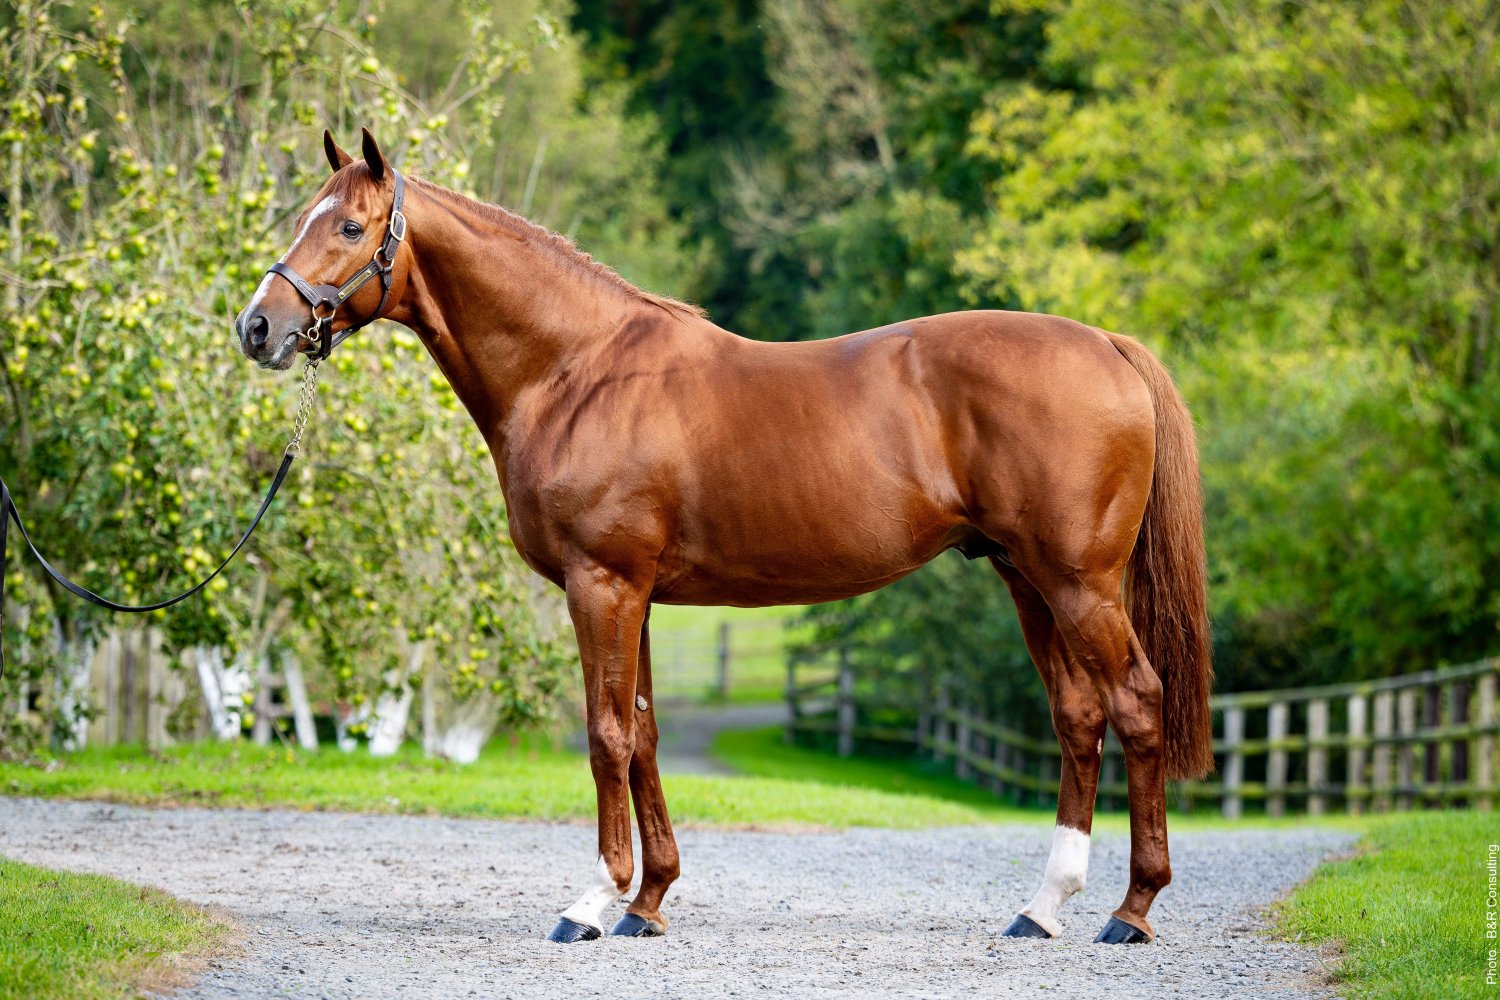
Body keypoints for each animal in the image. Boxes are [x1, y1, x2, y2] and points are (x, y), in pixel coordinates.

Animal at [235, 128, 1213, 947]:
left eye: (350, 225)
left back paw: (1132, 910)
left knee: (1136, 703)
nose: (259, 327)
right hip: (1025, 578)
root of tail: (1107, 344)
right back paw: (1042, 907)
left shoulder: (602, 584)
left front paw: (592, 902)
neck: (576, 370)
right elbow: (644, 732)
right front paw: (649, 901)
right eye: (304, 216)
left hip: (1078, 582)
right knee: (1079, 715)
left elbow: (606, 735)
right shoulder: (638, 596)